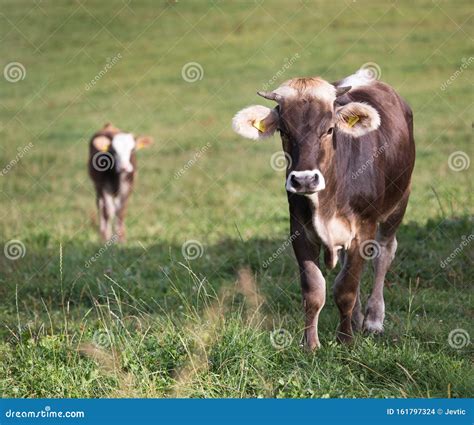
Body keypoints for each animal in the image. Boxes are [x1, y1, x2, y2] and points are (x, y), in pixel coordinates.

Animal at [232, 68, 414, 348]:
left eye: (329, 129)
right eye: (284, 131)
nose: (305, 179)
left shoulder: (364, 228)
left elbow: (346, 288)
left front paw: (345, 340)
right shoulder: (299, 231)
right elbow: (314, 289)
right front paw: (310, 344)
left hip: (398, 203)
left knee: (383, 254)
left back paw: (373, 319)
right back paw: (357, 318)